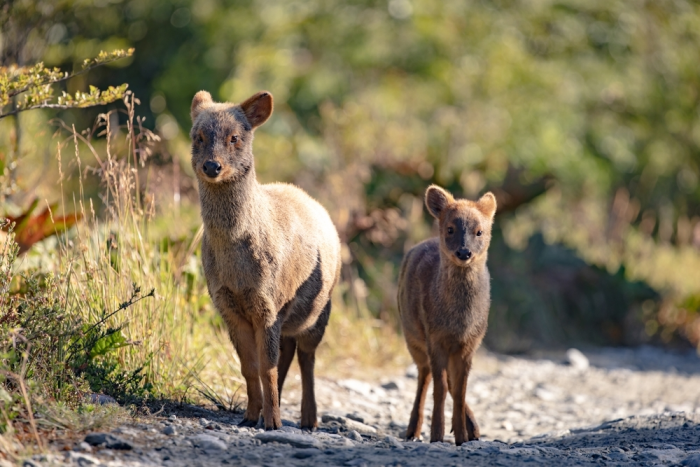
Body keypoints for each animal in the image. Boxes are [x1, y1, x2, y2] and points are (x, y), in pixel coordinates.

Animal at [191, 90, 342, 432]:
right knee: (288, 353)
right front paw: (250, 415)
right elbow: (249, 367)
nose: (212, 166)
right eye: (199, 136)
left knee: (307, 357)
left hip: (320, 310)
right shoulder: (227, 306)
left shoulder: (268, 301)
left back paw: (309, 419)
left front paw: (272, 422)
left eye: (235, 137)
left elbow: (267, 368)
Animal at [400, 184, 498, 446]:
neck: (458, 322)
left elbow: (461, 388)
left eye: (479, 231)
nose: (464, 252)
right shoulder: (435, 338)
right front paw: (437, 434)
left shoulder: (471, 343)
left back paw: (472, 429)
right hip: (412, 337)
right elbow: (441, 388)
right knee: (424, 376)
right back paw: (412, 430)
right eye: (450, 229)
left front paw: (462, 436)